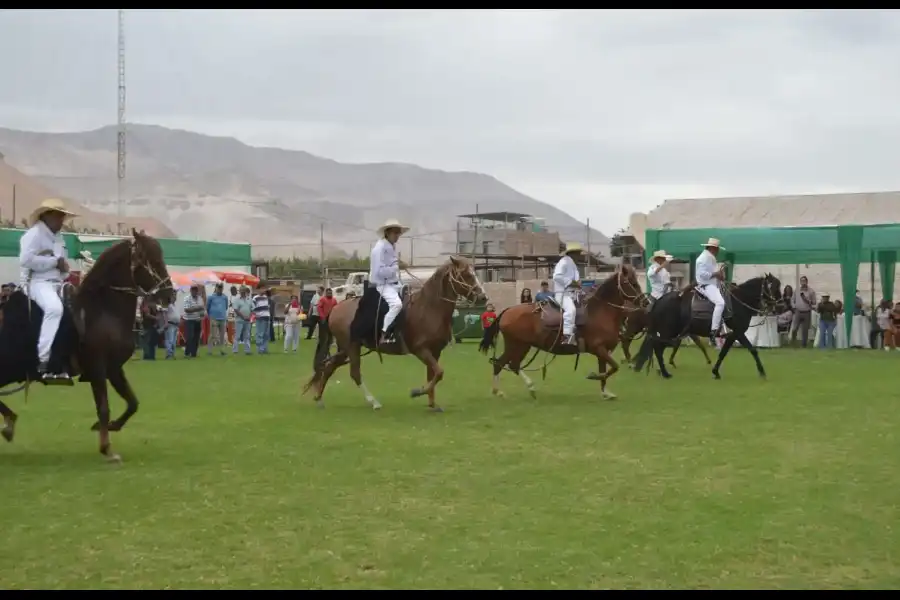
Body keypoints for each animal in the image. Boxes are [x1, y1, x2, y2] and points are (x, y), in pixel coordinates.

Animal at [0, 229, 172, 460]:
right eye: (150, 259)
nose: (170, 295)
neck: (103, 311)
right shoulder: (98, 368)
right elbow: (104, 407)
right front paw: (106, 448)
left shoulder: (113, 368)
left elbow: (132, 403)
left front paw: (110, 427)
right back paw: (9, 423)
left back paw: (9, 424)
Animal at [302, 253, 486, 412]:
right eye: (467, 275)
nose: (483, 297)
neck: (429, 308)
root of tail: (336, 308)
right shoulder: (421, 350)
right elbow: (439, 373)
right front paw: (417, 392)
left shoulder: (435, 351)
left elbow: (433, 374)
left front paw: (432, 403)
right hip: (351, 347)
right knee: (354, 374)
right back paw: (373, 402)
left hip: (345, 349)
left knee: (328, 367)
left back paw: (319, 398)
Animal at [482, 264, 644, 400]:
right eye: (631, 283)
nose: (645, 301)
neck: (600, 312)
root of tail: (507, 311)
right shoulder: (599, 349)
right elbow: (613, 367)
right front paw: (593, 376)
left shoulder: (603, 352)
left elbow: (605, 371)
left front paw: (606, 392)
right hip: (518, 345)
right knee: (507, 364)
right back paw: (521, 388)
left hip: (520, 346)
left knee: (505, 364)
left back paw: (503, 391)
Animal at [628, 274, 784, 380]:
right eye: (773, 287)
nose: (781, 306)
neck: (739, 301)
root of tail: (659, 300)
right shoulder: (738, 332)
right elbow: (753, 350)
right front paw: (762, 372)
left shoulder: (732, 335)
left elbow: (723, 353)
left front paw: (715, 372)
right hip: (668, 332)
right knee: (658, 348)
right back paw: (665, 373)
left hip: (672, 333)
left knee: (657, 346)